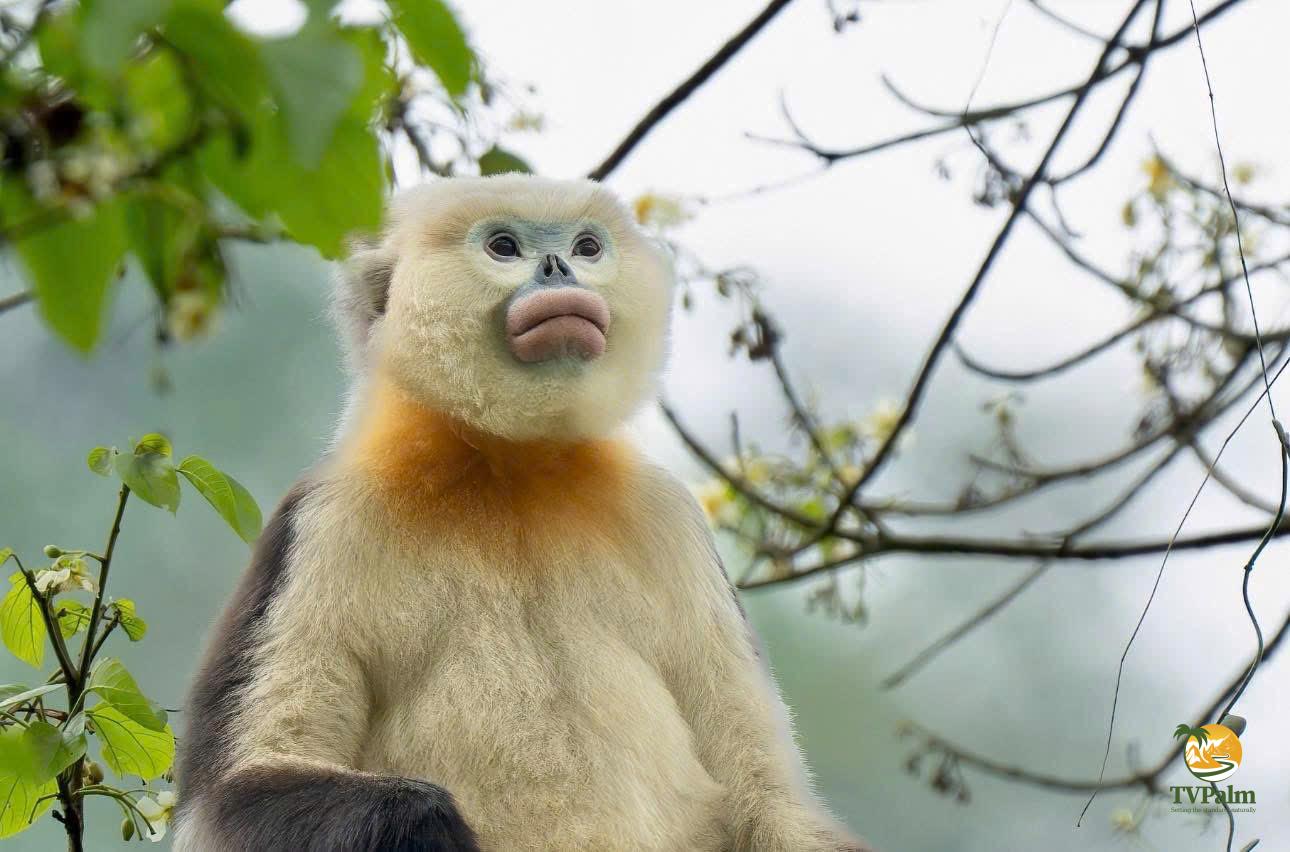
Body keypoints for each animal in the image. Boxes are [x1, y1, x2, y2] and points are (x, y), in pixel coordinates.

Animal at [173, 175, 867, 852]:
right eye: (503, 247)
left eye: (588, 247)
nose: (559, 267)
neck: (512, 473)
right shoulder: (320, 520)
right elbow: (235, 792)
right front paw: (427, 824)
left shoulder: (670, 517)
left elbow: (768, 796)